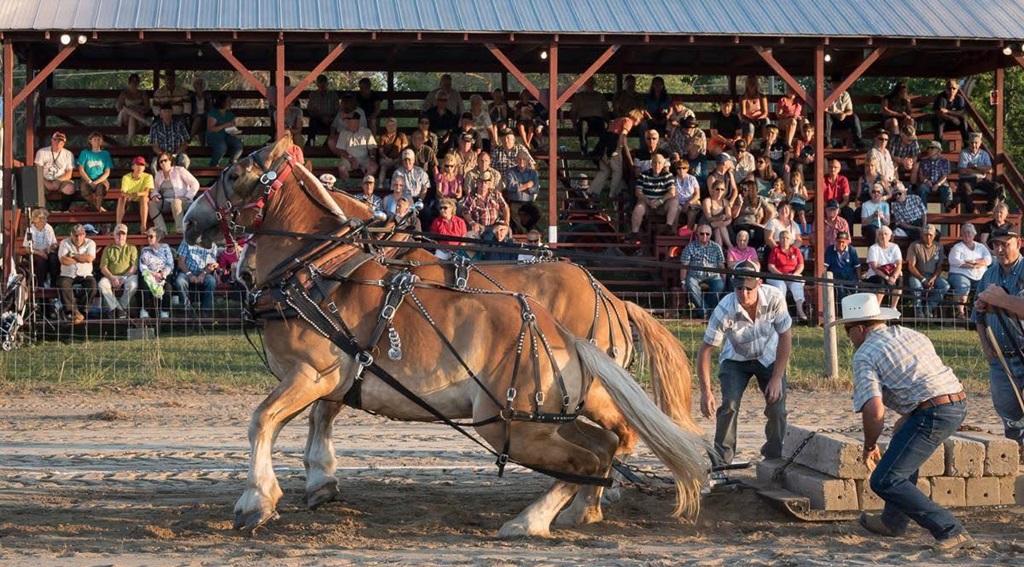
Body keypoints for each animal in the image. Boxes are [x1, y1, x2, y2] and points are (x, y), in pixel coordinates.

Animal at [182, 137, 710, 537]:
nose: (188, 220)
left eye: (233, 174)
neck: (325, 267)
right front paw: (320, 482)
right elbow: (317, 417)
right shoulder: (337, 373)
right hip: (568, 406)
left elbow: (265, 420)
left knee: (606, 444)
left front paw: (258, 499)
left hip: (519, 420)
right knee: (607, 443)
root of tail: (612, 297)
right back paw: (585, 506)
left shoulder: (313, 373)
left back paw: (544, 516)